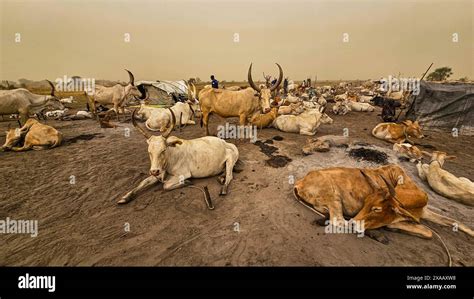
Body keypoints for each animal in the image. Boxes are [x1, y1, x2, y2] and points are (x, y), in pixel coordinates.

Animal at [294, 165, 472, 240]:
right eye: (366, 202)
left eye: (377, 209)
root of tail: (299, 182)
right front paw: (389, 228)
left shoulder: (425, 212)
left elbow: (450, 223)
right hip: (333, 196)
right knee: (340, 221)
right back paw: (376, 234)